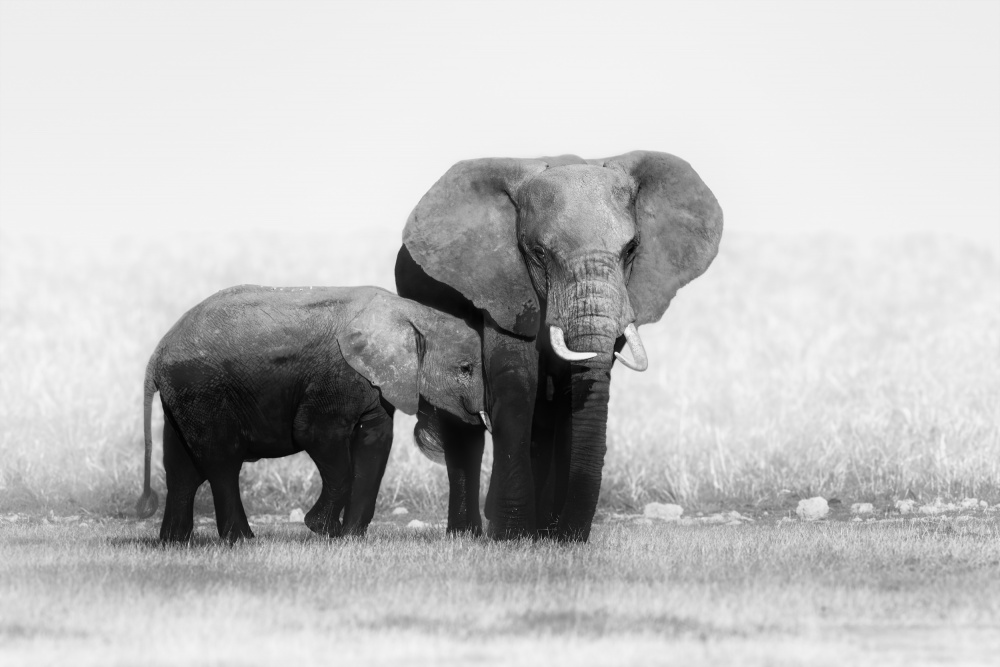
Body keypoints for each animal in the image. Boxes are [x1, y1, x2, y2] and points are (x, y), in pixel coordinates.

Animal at [136, 286, 488, 544]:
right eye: (465, 369)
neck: (410, 312)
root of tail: (156, 354)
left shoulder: (377, 380)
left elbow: (375, 441)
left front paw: (350, 539)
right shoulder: (339, 375)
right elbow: (316, 435)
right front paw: (322, 530)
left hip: (184, 396)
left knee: (182, 468)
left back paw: (174, 543)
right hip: (201, 388)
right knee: (222, 461)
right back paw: (243, 541)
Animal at [394, 151, 724, 544]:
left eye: (631, 249)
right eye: (539, 253)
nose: (572, 536)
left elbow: (573, 393)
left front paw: (553, 537)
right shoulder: (503, 286)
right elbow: (516, 379)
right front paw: (512, 536)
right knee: (463, 429)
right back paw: (469, 534)